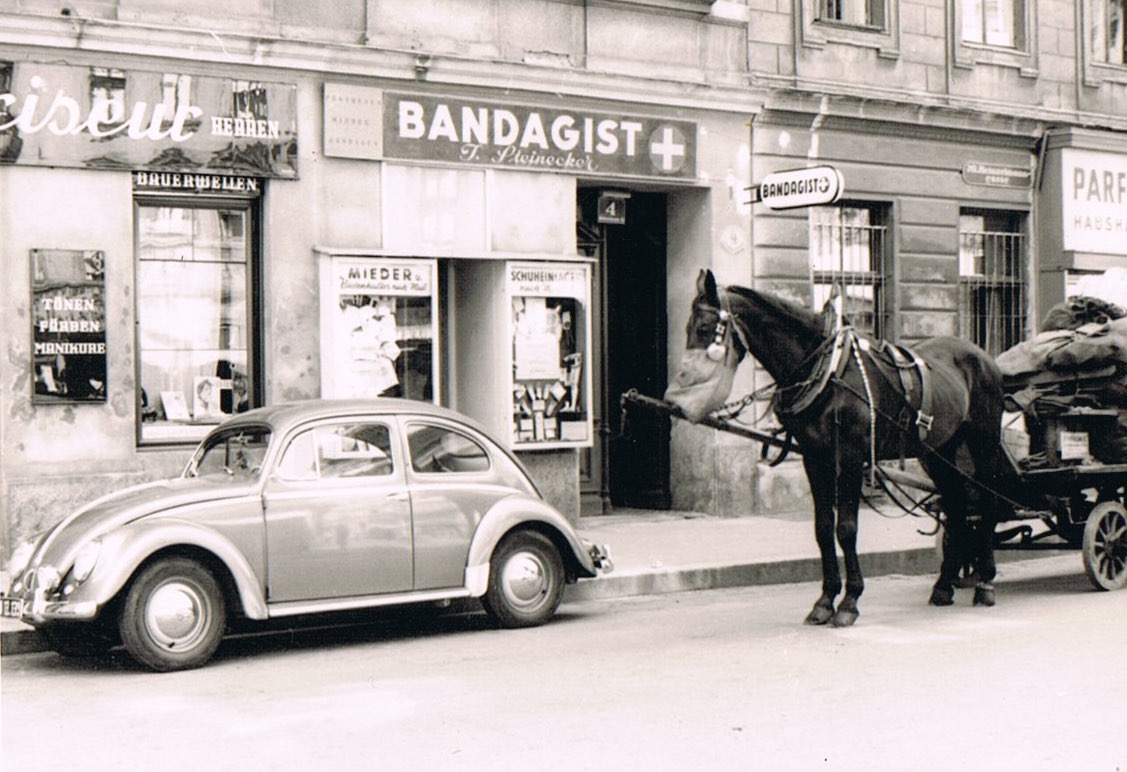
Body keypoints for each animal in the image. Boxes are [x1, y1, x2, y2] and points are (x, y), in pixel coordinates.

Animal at [662, 270, 1009, 626]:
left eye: (705, 329)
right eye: (688, 328)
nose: (673, 402)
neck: (826, 370)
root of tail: (984, 357)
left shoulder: (851, 457)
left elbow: (846, 528)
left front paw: (850, 601)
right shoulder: (816, 458)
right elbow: (823, 528)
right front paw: (825, 600)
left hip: (983, 443)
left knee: (988, 503)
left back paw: (985, 582)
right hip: (939, 451)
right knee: (956, 507)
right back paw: (943, 585)